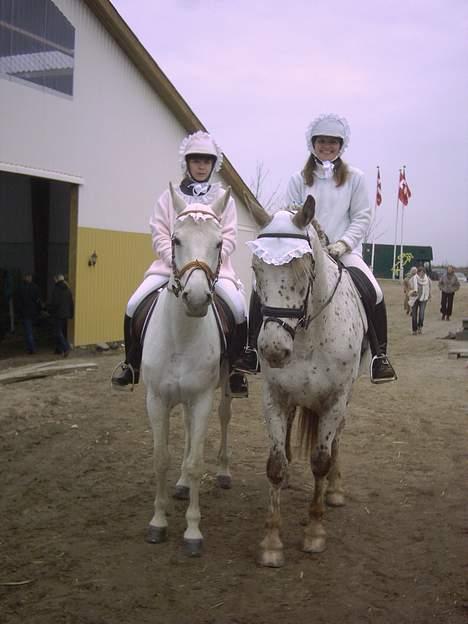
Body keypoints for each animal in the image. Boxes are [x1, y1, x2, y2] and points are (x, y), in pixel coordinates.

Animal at [140, 185, 233, 556]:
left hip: (222, 390)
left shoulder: (203, 398)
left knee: (223, 418)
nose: (195, 298)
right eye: (175, 240)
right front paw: (158, 521)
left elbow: (196, 462)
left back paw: (223, 472)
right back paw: (178, 485)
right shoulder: (156, 399)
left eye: (219, 243)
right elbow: (160, 458)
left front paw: (193, 531)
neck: (181, 333)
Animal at [245, 197, 370, 568]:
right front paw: (272, 543)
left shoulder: (334, 399)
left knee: (337, 440)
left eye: (304, 269)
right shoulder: (273, 396)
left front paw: (315, 533)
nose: (273, 348)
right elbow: (274, 465)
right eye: (256, 268)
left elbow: (320, 462)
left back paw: (335, 491)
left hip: (345, 400)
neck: (308, 335)